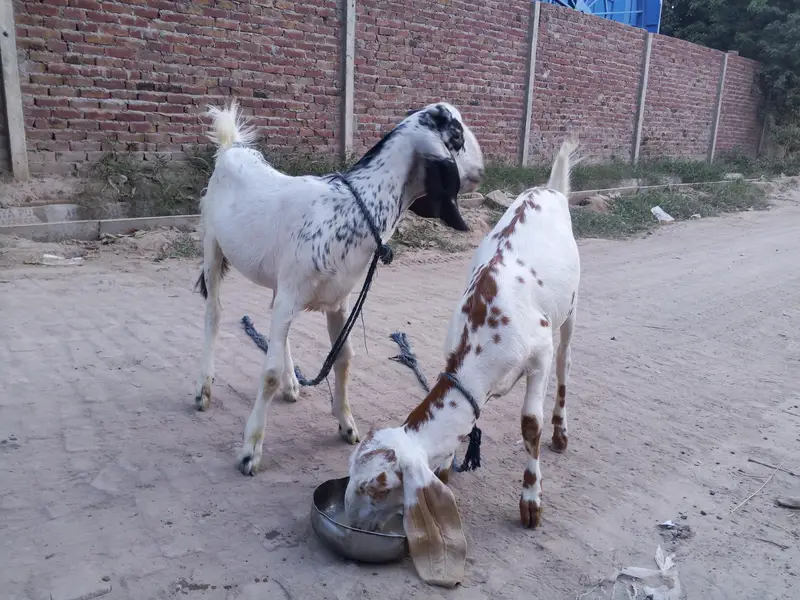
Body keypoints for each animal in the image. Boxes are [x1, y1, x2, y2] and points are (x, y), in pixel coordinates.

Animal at [195, 101, 485, 476]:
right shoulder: (292, 293)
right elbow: (268, 373)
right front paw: (250, 450)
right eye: (458, 137)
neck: (351, 210)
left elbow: (343, 358)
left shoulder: (338, 301)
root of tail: (231, 147)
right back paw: (204, 389)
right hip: (212, 245)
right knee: (214, 313)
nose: (481, 170)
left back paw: (292, 384)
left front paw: (346, 424)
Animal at [344, 140, 580, 586]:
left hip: (572, 306)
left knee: (565, 361)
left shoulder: (537, 352)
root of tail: (549, 189)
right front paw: (447, 467)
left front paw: (531, 502)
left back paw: (561, 431)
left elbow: (530, 425)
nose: (352, 525)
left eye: (379, 488)